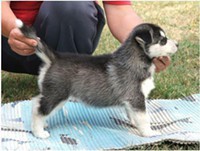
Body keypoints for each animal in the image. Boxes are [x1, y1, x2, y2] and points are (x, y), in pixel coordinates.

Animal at [16, 18, 178, 139]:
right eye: (163, 40)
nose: (177, 43)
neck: (135, 59)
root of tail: (55, 57)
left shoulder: (131, 101)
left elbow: (133, 115)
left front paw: (134, 124)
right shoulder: (136, 97)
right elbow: (144, 118)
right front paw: (149, 132)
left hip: (52, 93)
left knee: (36, 102)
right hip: (57, 94)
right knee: (39, 110)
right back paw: (39, 132)